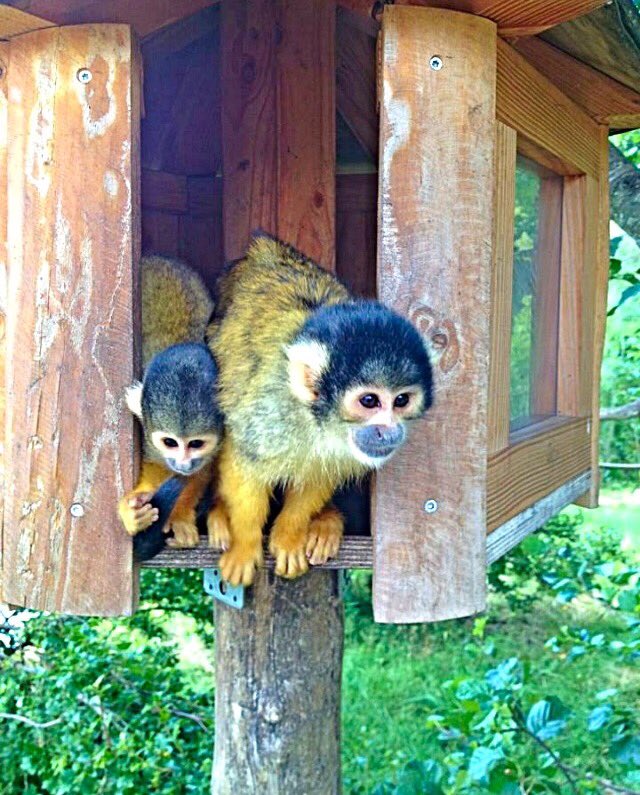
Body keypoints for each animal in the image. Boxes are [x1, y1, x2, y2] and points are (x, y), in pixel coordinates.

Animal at [207, 234, 433, 586]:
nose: (389, 431)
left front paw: (289, 534)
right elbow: (245, 462)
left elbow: (317, 477)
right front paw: (245, 543)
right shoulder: (269, 412)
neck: (317, 421)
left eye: (401, 401)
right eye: (369, 401)